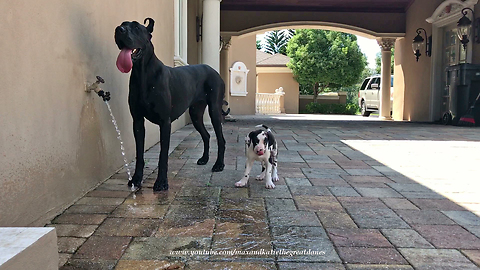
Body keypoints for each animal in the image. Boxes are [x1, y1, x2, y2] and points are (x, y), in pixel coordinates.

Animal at [116, 17, 229, 191]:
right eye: (123, 24)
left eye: (136, 27)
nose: (118, 30)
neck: (143, 73)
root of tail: (214, 71)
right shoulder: (137, 122)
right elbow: (139, 154)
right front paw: (136, 179)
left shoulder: (165, 122)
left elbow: (163, 155)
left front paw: (162, 182)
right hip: (195, 114)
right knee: (206, 135)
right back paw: (204, 159)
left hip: (214, 111)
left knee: (221, 139)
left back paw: (219, 165)